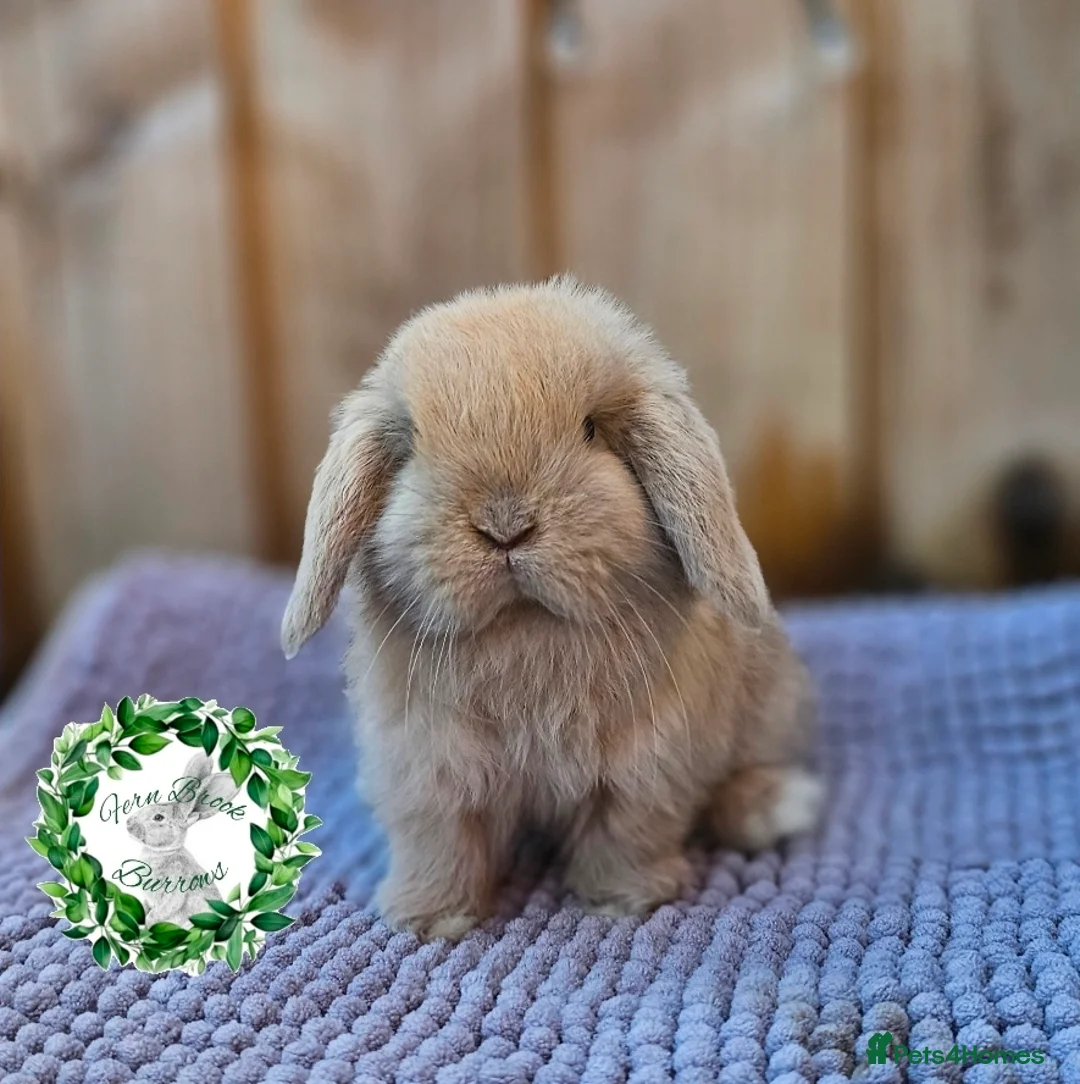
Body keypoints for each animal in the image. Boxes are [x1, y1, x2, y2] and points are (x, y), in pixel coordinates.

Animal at [125, 752, 240, 927]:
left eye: (158, 817)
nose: (128, 823)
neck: (164, 852)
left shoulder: (174, 888)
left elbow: (164, 909)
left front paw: (149, 925)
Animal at [281, 275, 823, 941]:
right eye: (411, 446)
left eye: (590, 429)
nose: (505, 525)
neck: (527, 631)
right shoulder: (428, 776)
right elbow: (442, 847)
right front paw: (428, 919)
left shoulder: (643, 770)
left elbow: (625, 835)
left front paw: (622, 903)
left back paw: (772, 806)